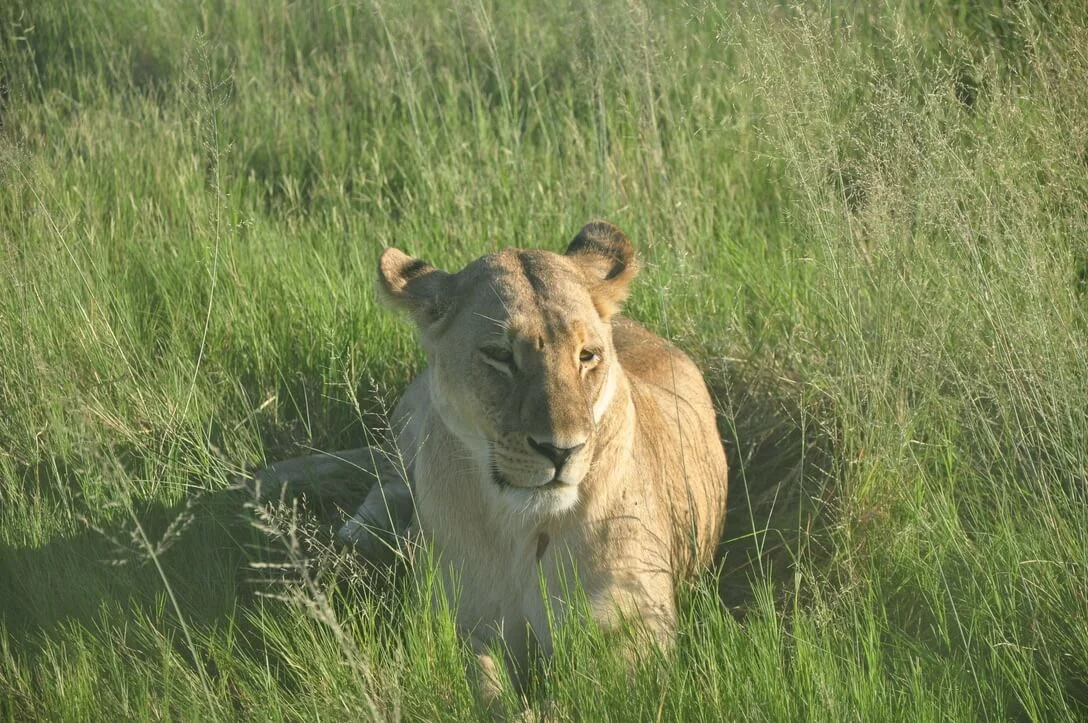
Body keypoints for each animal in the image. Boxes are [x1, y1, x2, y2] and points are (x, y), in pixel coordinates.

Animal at [256, 221, 728, 705]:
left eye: (587, 356)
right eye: (500, 356)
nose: (562, 450)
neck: (522, 529)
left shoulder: (632, 639)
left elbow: (572, 700)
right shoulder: (458, 626)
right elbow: (489, 694)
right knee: (388, 479)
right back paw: (358, 538)